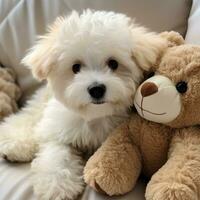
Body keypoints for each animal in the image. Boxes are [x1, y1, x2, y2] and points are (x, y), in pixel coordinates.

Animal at [0, 9, 166, 200]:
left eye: (113, 63)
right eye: (76, 67)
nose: (96, 89)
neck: (93, 115)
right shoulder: (58, 129)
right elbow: (57, 153)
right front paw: (57, 186)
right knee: (27, 119)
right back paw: (13, 144)